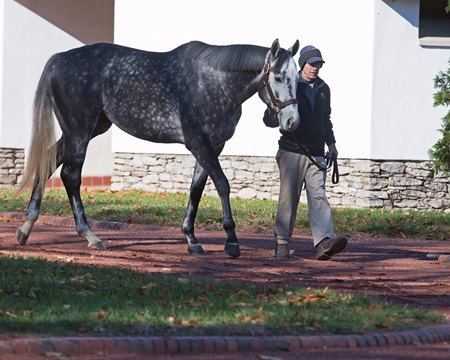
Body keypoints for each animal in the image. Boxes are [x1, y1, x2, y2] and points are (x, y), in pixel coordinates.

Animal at [17, 39, 300, 258]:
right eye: (277, 77)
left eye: (298, 78)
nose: (292, 122)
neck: (212, 81)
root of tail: (60, 59)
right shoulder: (198, 143)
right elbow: (222, 184)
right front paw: (231, 241)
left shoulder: (214, 146)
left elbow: (196, 189)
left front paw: (192, 240)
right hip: (79, 130)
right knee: (71, 176)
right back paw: (90, 235)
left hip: (89, 128)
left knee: (49, 162)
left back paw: (26, 228)